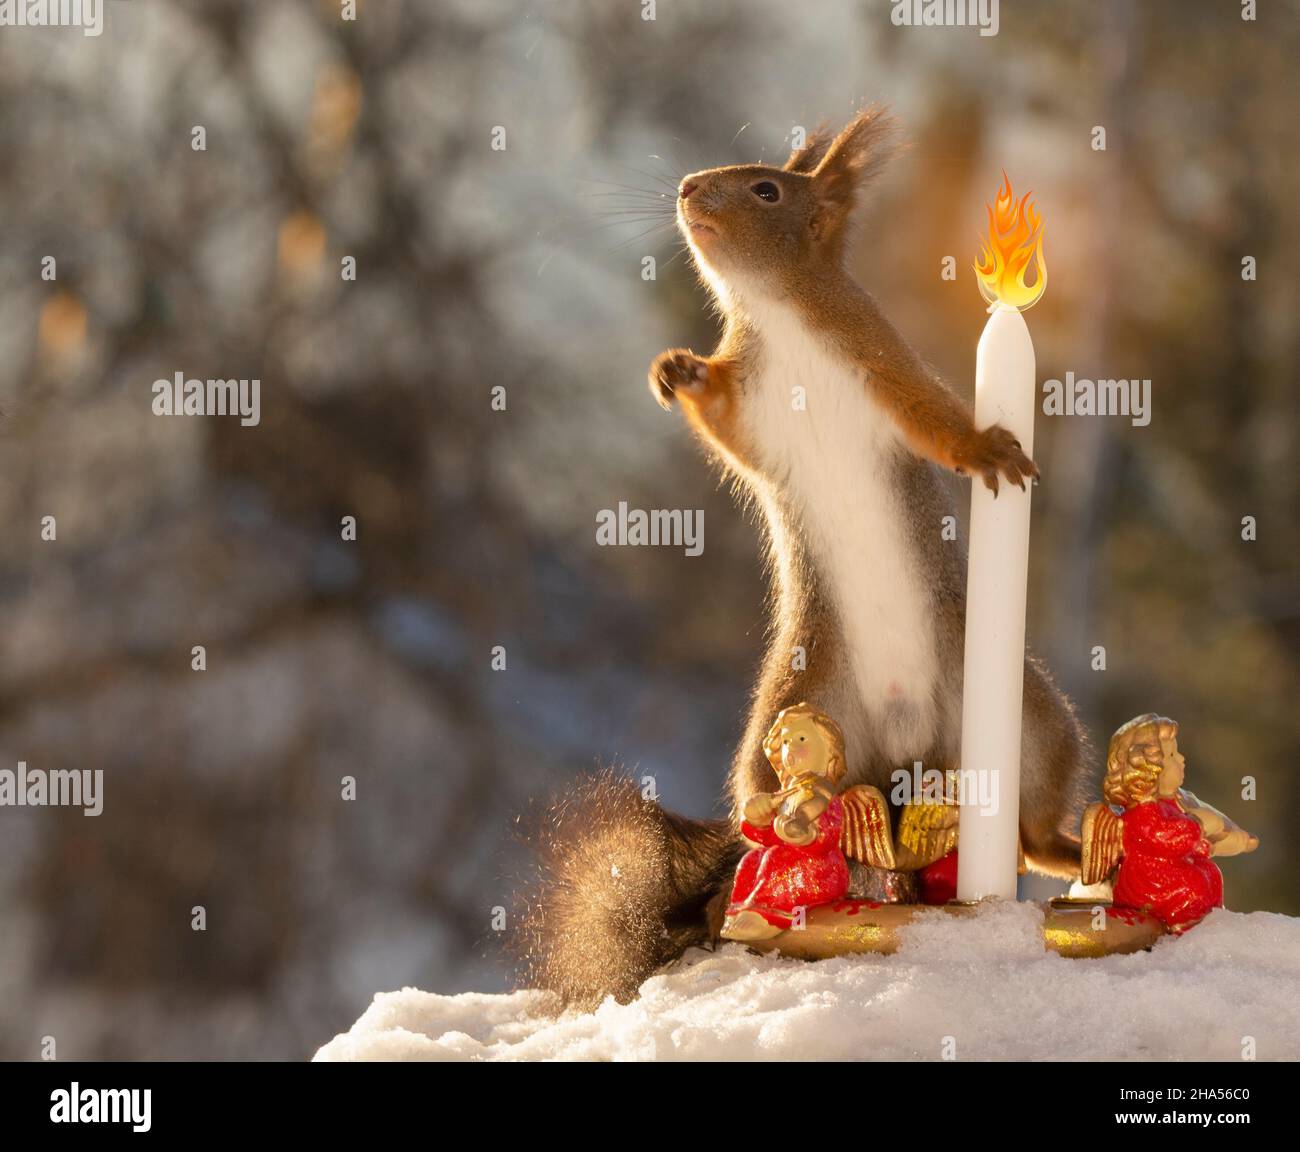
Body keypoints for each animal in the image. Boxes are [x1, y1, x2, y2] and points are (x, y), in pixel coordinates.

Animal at [514, 107, 1086, 1008]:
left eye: (766, 189)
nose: (686, 188)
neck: (781, 317)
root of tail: (903, 745)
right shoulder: (750, 404)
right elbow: (726, 429)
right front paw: (674, 370)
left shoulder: (882, 363)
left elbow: (935, 421)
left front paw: (987, 449)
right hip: (788, 715)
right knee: (781, 821)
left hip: (1032, 722)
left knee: (1030, 829)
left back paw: (1063, 849)